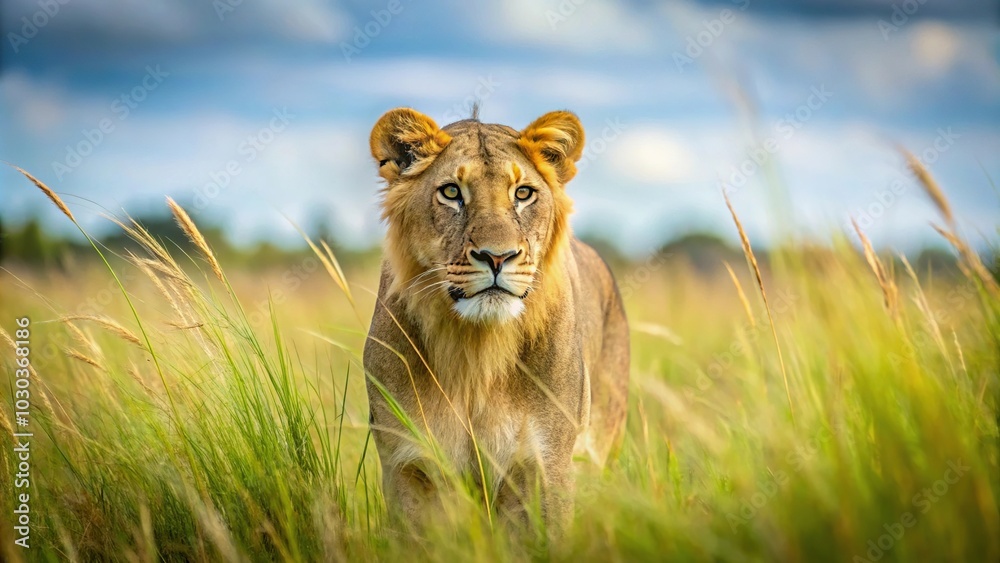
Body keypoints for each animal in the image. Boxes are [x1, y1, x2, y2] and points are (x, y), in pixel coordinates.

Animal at [363, 107, 630, 533]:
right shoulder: (409, 465)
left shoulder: (546, 464)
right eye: (451, 192)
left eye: (522, 194)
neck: (476, 353)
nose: (497, 256)